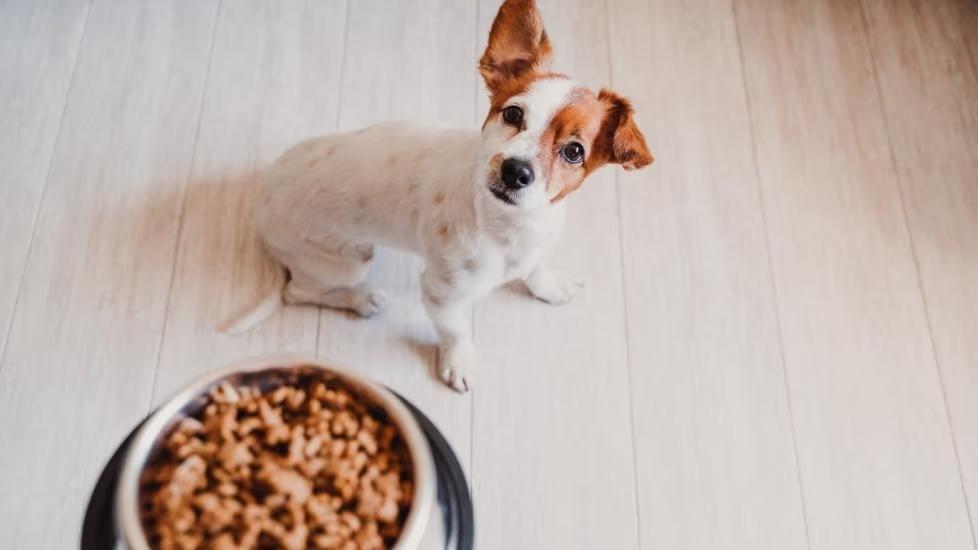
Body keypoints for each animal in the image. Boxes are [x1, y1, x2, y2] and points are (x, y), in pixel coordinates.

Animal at [228, 0, 652, 394]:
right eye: (513, 114)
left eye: (575, 151)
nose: (515, 171)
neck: (510, 228)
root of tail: (261, 199)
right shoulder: (440, 293)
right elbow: (456, 331)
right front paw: (458, 362)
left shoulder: (539, 245)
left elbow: (537, 268)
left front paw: (547, 286)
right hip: (345, 263)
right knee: (298, 291)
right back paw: (359, 300)